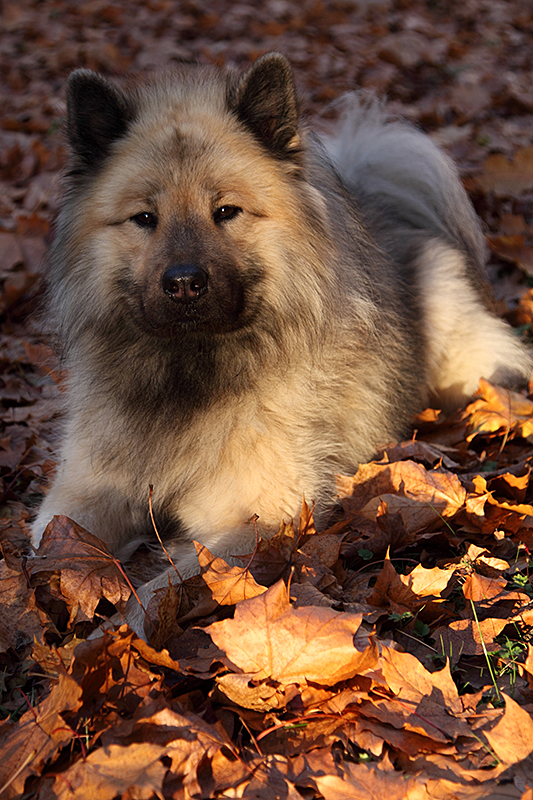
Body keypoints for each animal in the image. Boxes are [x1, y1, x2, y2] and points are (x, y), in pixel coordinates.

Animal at [31, 53, 528, 636]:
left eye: (226, 212)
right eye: (144, 219)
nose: (184, 283)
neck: (190, 373)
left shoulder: (255, 516)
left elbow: (152, 593)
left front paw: (108, 635)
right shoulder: (81, 492)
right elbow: (50, 549)